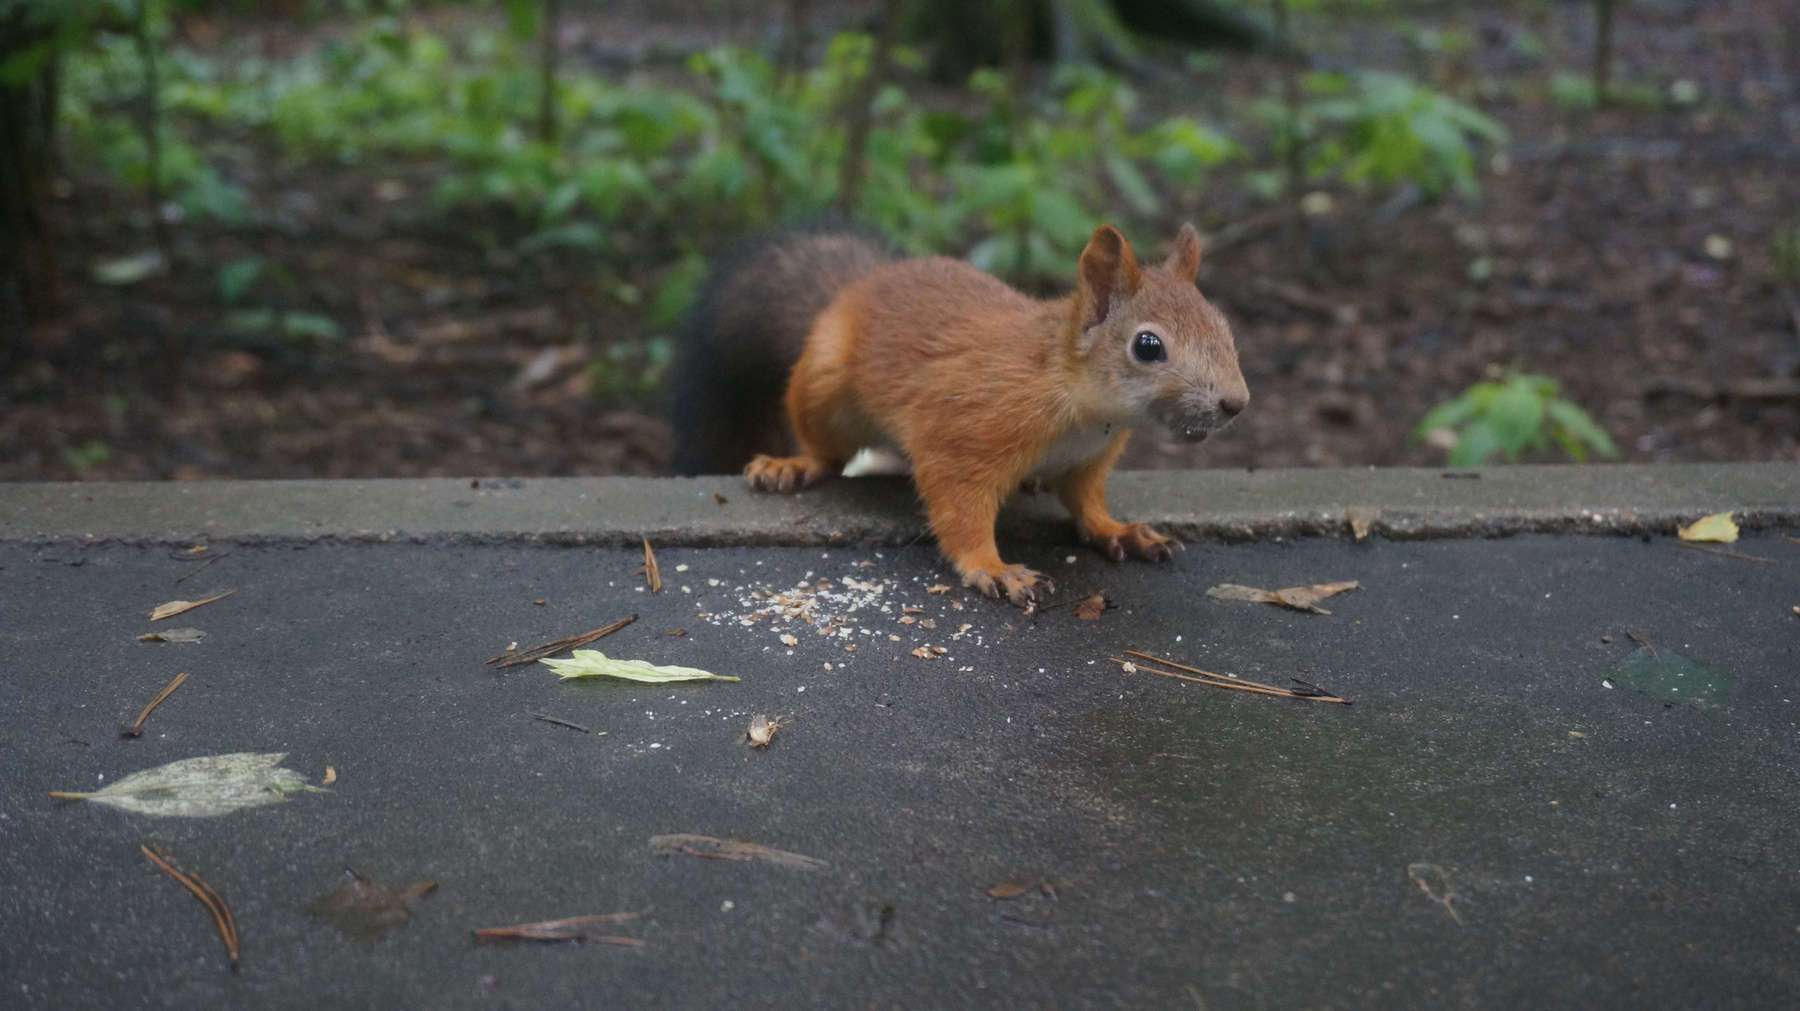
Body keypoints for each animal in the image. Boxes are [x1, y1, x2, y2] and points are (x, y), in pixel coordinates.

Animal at [674, 223, 1247, 608]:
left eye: (1224, 327)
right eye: (1148, 346)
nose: (1236, 403)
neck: (1083, 410)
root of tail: (854, 289)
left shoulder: (1090, 458)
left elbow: (1086, 503)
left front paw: (1118, 530)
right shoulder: (964, 428)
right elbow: (957, 505)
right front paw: (993, 568)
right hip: (823, 388)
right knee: (827, 452)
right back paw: (793, 465)